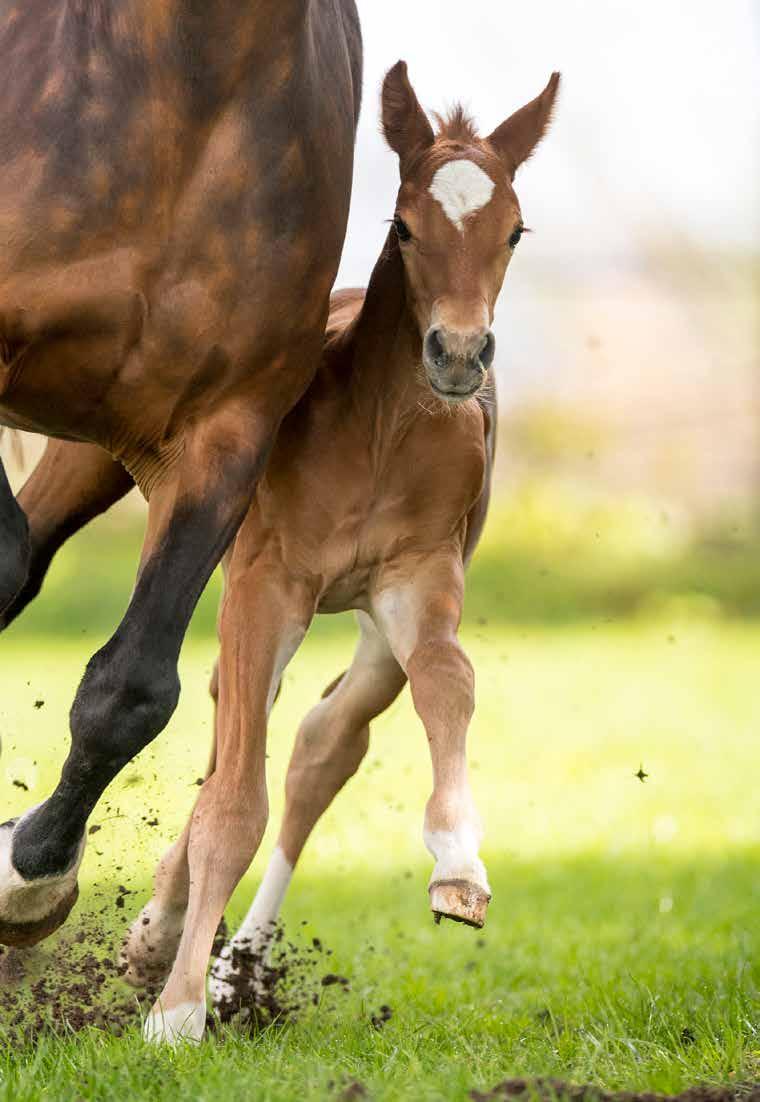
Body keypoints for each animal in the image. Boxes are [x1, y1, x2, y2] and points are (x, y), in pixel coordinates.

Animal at [112, 60, 559, 1040]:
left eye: (515, 230)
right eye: (402, 225)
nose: (459, 355)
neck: (380, 425)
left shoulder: (418, 582)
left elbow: (445, 683)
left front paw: (459, 868)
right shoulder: (265, 580)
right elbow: (235, 796)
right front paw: (176, 1012)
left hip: (362, 626)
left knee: (320, 742)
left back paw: (212, 952)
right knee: (244, 730)